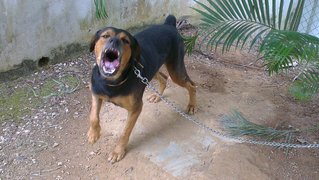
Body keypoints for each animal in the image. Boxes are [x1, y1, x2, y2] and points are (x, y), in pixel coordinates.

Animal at [88, 15, 198, 163]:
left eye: (125, 41)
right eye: (105, 36)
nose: (114, 41)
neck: (111, 81)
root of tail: (168, 25)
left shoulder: (136, 108)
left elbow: (125, 132)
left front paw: (118, 151)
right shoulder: (95, 93)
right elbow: (93, 116)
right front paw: (93, 134)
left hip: (175, 71)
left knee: (192, 85)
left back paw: (192, 105)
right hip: (152, 69)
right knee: (164, 78)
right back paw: (157, 96)